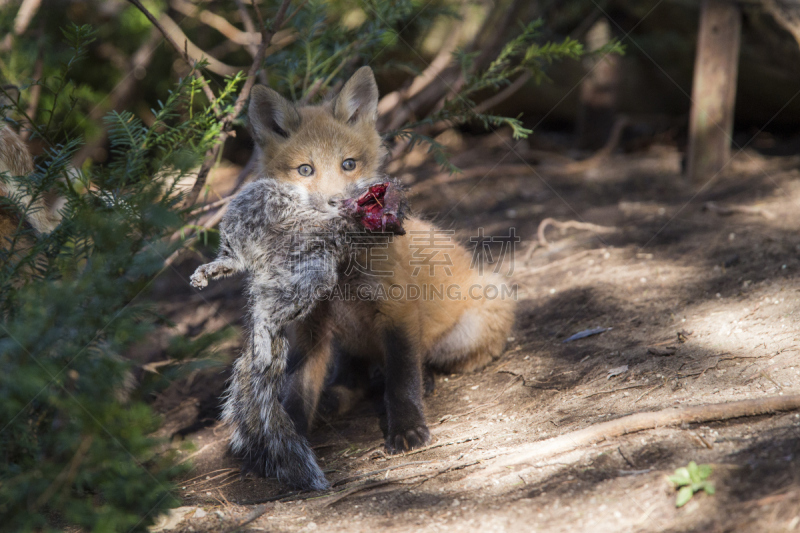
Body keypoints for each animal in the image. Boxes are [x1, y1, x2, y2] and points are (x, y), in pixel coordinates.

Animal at [192, 177, 406, 488]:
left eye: (392, 214)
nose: (389, 185)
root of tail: (264, 268)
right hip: (252, 216)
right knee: (237, 253)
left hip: (307, 278)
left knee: (267, 312)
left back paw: (263, 335)